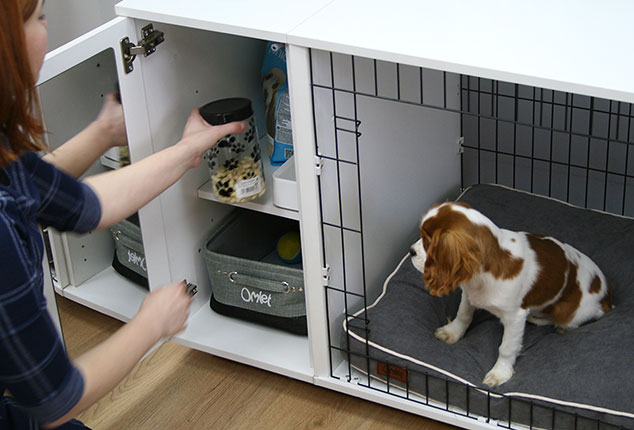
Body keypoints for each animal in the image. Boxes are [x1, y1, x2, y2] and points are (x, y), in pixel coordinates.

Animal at [408, 202, 608, 386]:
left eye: (428, 243)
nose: (411, 251)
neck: (481, 276)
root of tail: (607, 294)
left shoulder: (515, 317)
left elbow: (507, 347)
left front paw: (500, 373)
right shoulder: (469, 294)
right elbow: (463, 315)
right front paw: (452, 332)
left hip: (570, 313)